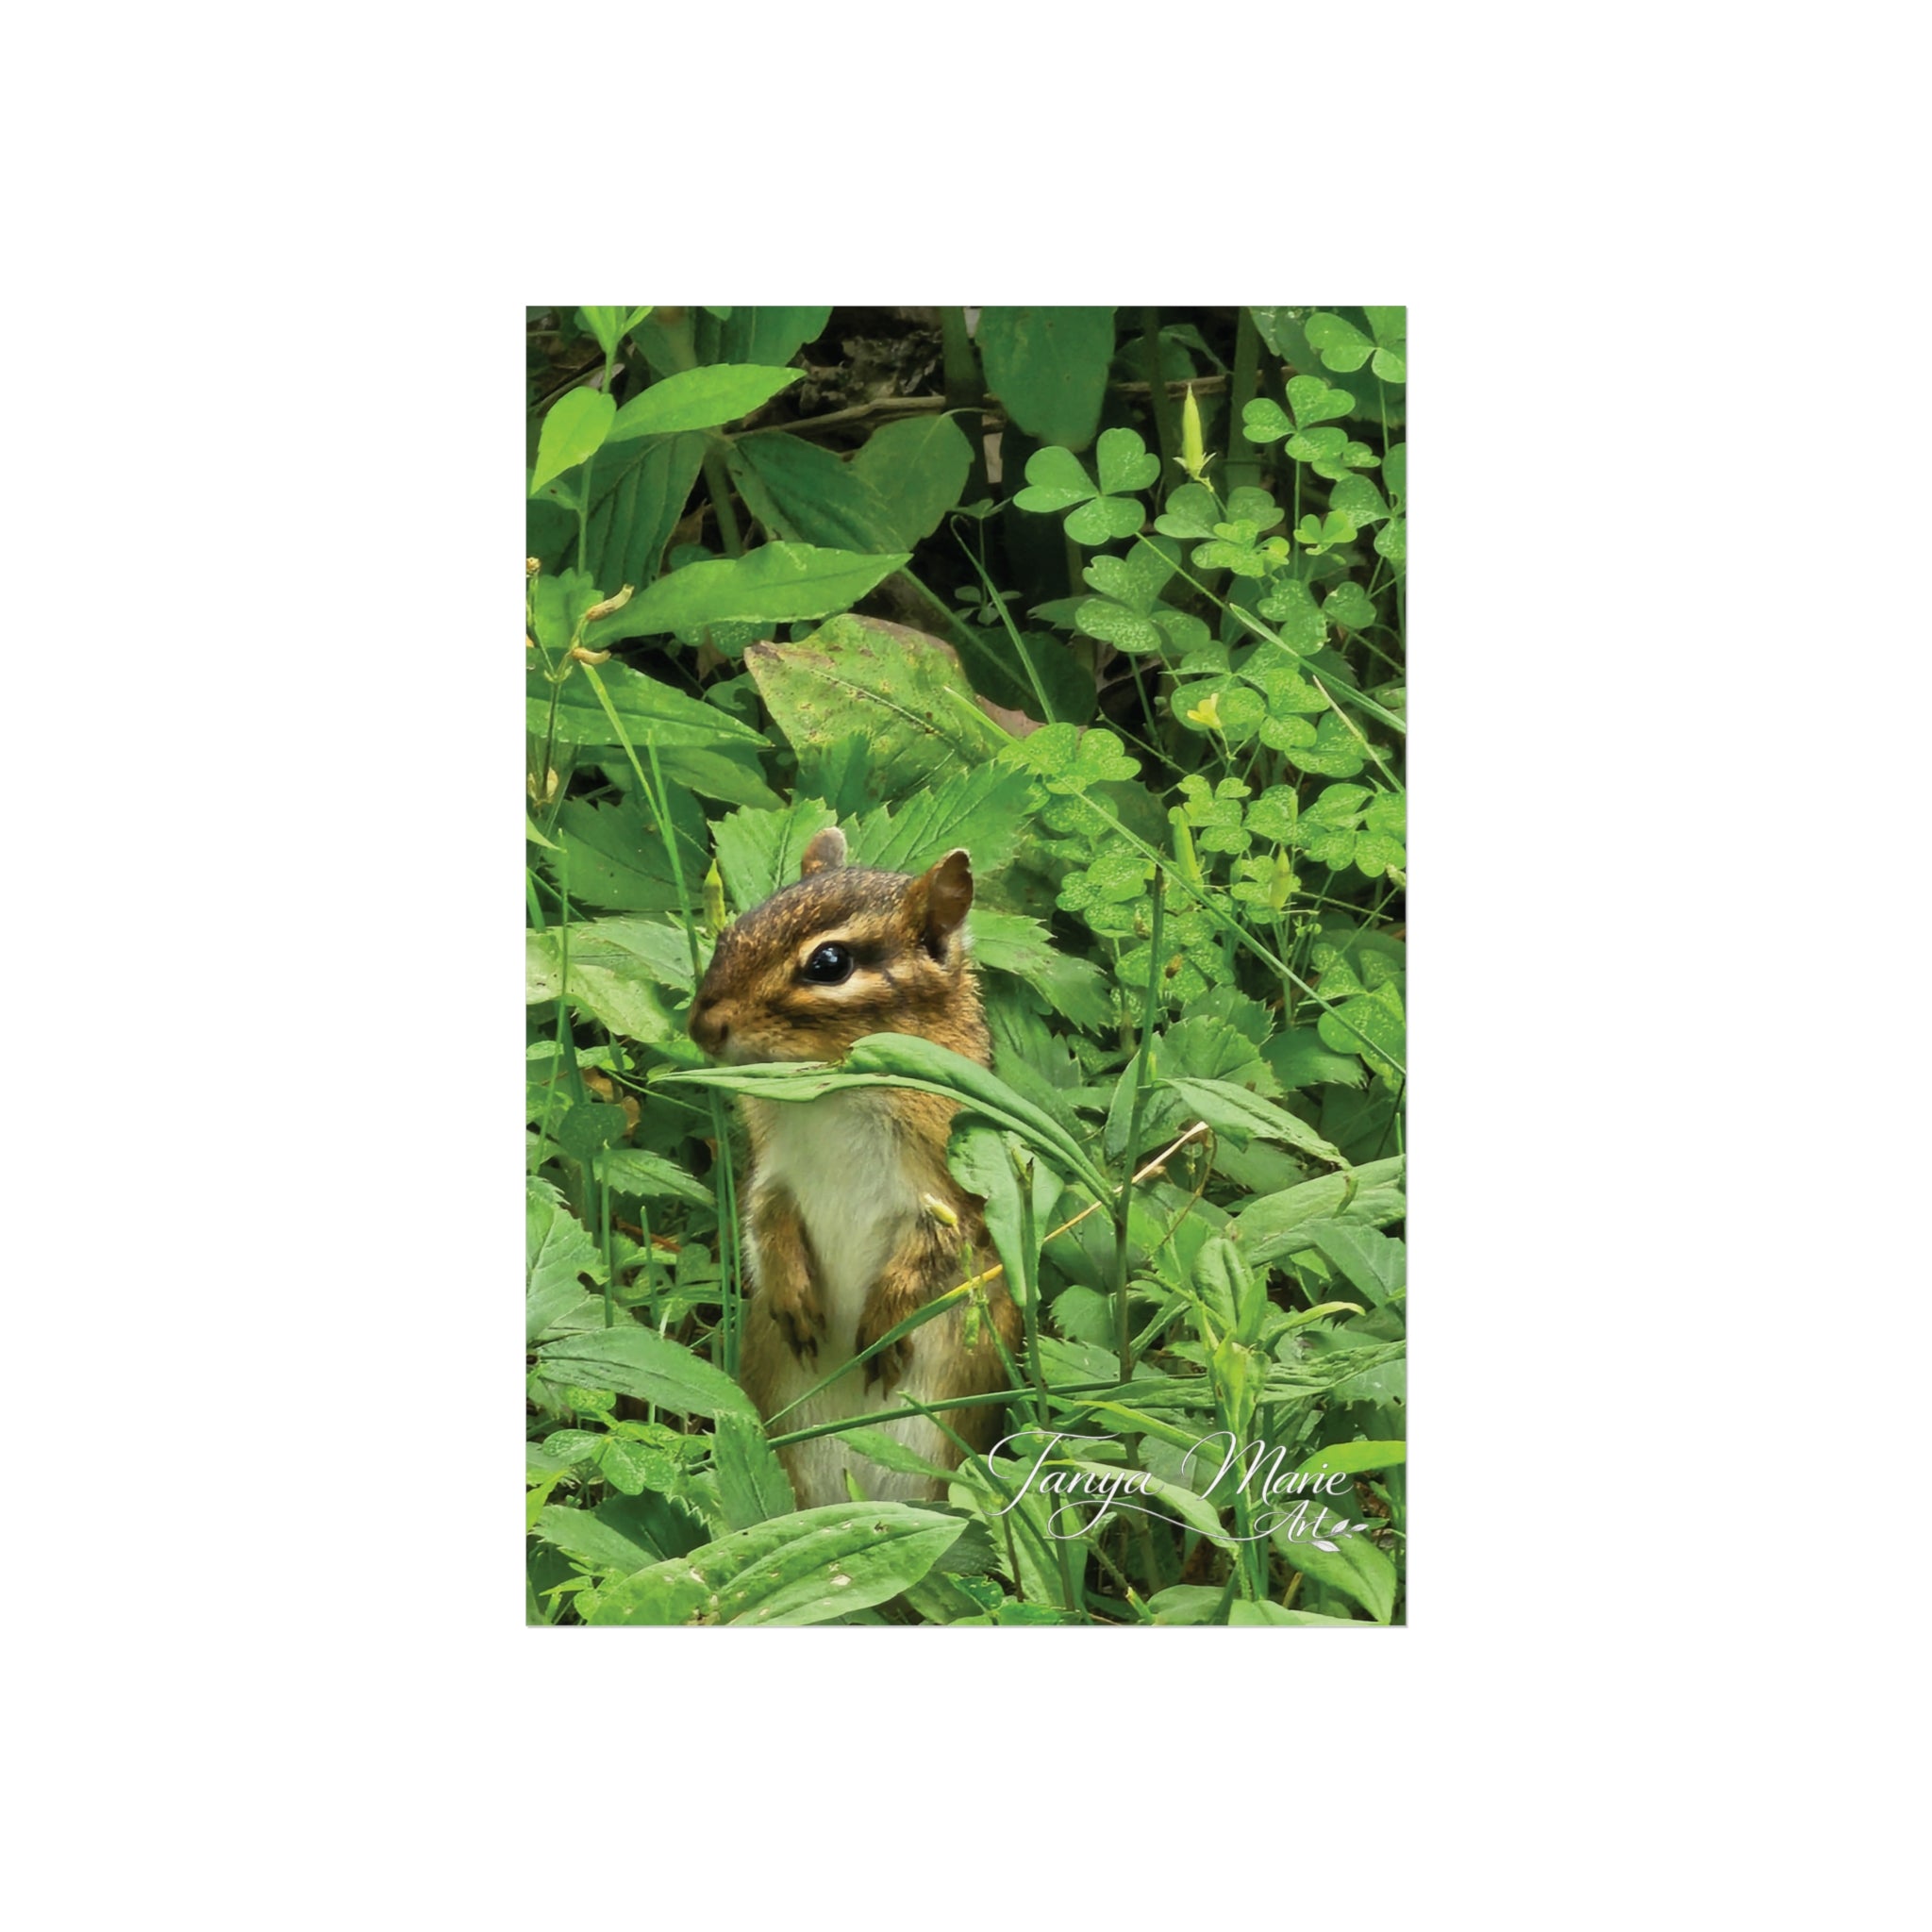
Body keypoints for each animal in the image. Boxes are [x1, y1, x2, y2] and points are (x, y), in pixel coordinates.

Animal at [687, 826, 1021, 1509]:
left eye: (829, 964)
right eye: (734, 930)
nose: (702, 1025)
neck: (831, 1096)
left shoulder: (950, 1191)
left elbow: (933, 1254)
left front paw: (885, 1325)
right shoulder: (772, 1171)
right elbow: (763, 1222)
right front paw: (792, 1295)